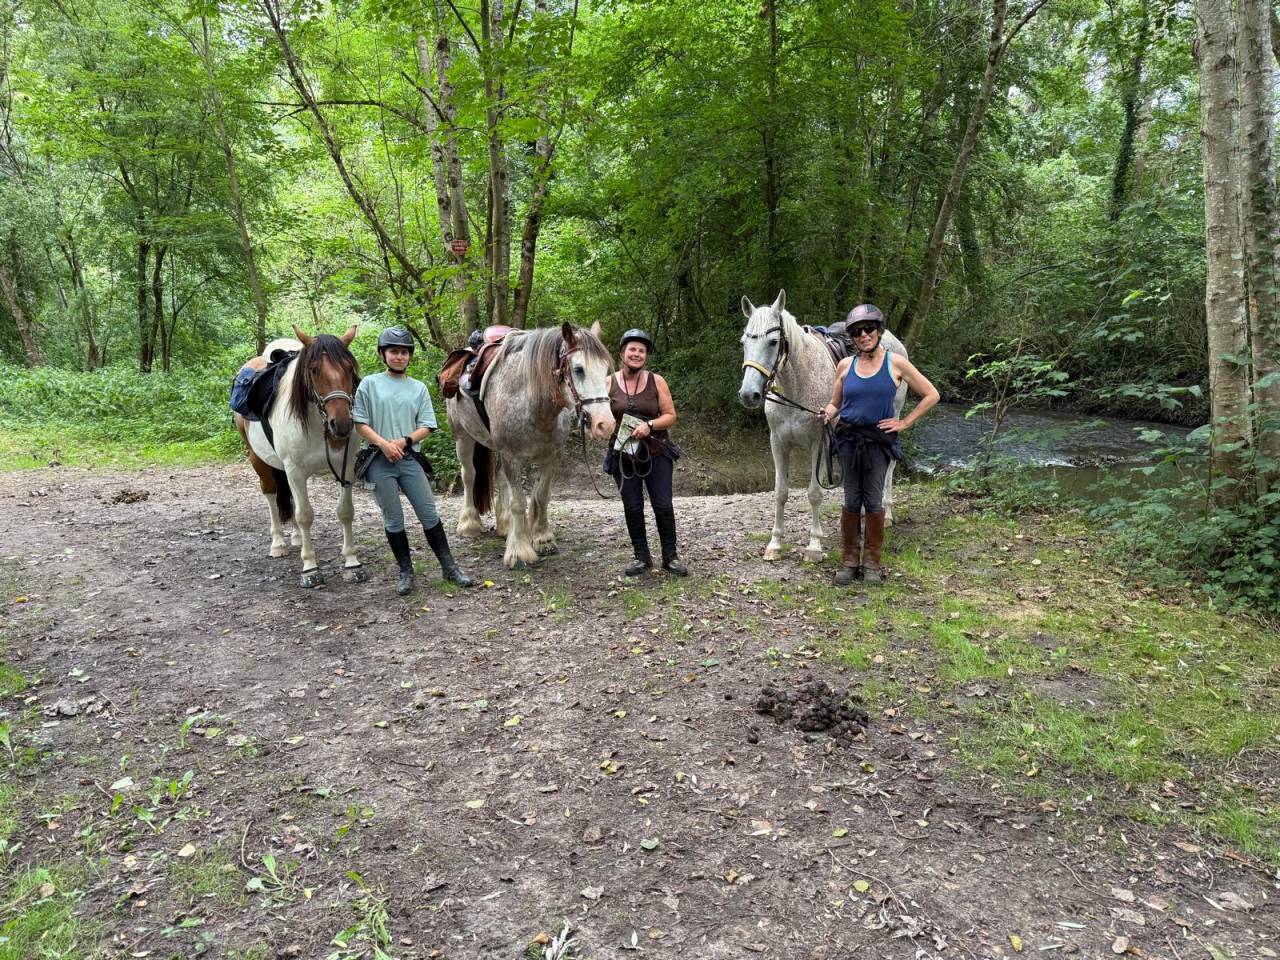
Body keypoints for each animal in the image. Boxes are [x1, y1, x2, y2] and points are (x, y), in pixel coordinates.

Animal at [235, 324, 366, 588]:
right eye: (314, 370)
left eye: (349, 368)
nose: (341, 425)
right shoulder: (295, 470)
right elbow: (305, 515)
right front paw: (310, 568)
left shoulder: (345, 466)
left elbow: (345, 511)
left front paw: (351, 562)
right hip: (258, 461)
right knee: (271, 494)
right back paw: (278, 543)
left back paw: (295, 536)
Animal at [447, 321, 615, 569]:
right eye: (578, 369)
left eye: (605, 370)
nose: (606, 424)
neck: (532, 402)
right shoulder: (512, 457)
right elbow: (519, 502)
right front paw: (518, 551)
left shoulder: (552, 457)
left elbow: (541, 496)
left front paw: (542, 538)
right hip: (463, 437)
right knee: (469, 475)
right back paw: (469, 523)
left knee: (499, 477)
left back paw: (505, 525)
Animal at [737, 290, 907, 562]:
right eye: (744, 342)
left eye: (773, 342)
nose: (748, 394)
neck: (797, 384)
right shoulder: (778, 442)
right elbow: (780, 492)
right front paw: (775, 543)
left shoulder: (818, 442)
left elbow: (814, 493)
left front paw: (814, 546)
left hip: (890, 423)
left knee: (889, 464)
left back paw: (887, 513)